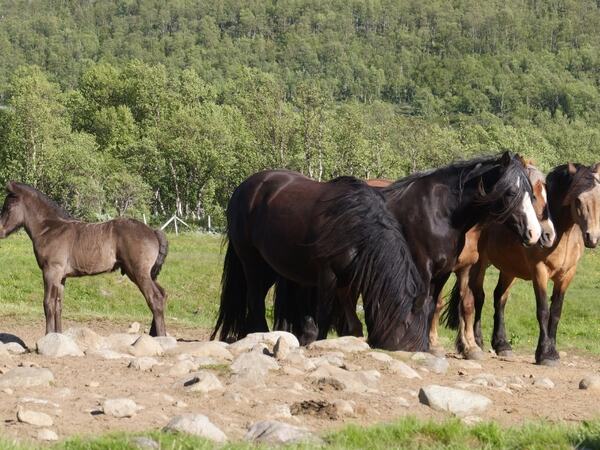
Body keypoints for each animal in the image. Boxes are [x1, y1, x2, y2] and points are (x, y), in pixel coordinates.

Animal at [0, 182, 169, 334]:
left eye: (7, 207)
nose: (0, 231)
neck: (50, 229)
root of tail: (153, 231)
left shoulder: (50, 272)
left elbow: (47, 303)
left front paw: (47, 336)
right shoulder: (61, 277)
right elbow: (58, 305)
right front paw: (58, 337)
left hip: (138, 273)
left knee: (155, 298)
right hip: (146, 274)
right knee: (163, 294)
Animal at [211, 172, 426, 352]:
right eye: (408, 329)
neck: (355, 225)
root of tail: (242, 188)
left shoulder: (347, 282)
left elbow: (353, 321)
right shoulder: (328, 275)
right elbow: (324, 314)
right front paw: (319, 341)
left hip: (272, 268)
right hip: (253, 263)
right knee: (255, 300)